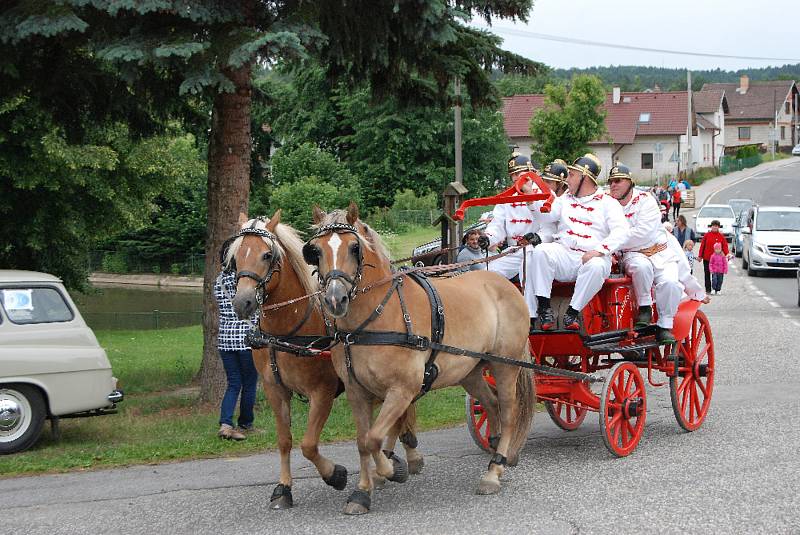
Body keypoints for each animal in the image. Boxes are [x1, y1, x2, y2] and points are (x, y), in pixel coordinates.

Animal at [227, 211, 424, 508]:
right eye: (236, 256)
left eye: (267, 255)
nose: (243, 302)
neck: (289, 330)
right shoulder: (275, 389)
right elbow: (284, 440)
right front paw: (283, 488)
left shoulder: (322, 390)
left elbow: (308, 445)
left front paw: (335, 474)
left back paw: (399, 459)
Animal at [304, 204, 536, 516]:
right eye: (315, 250)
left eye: (354, 248)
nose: (334, 299)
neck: (374, 320)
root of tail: (505, 284)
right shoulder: (356, 392)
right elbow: (362, 442)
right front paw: (362, 492)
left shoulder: (402, 389)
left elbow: (374, 438)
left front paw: (391, 470)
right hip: (470, 371)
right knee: (491, 404)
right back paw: (496, 449)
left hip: (505, 365)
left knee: (509, 410)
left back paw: (494, 471)